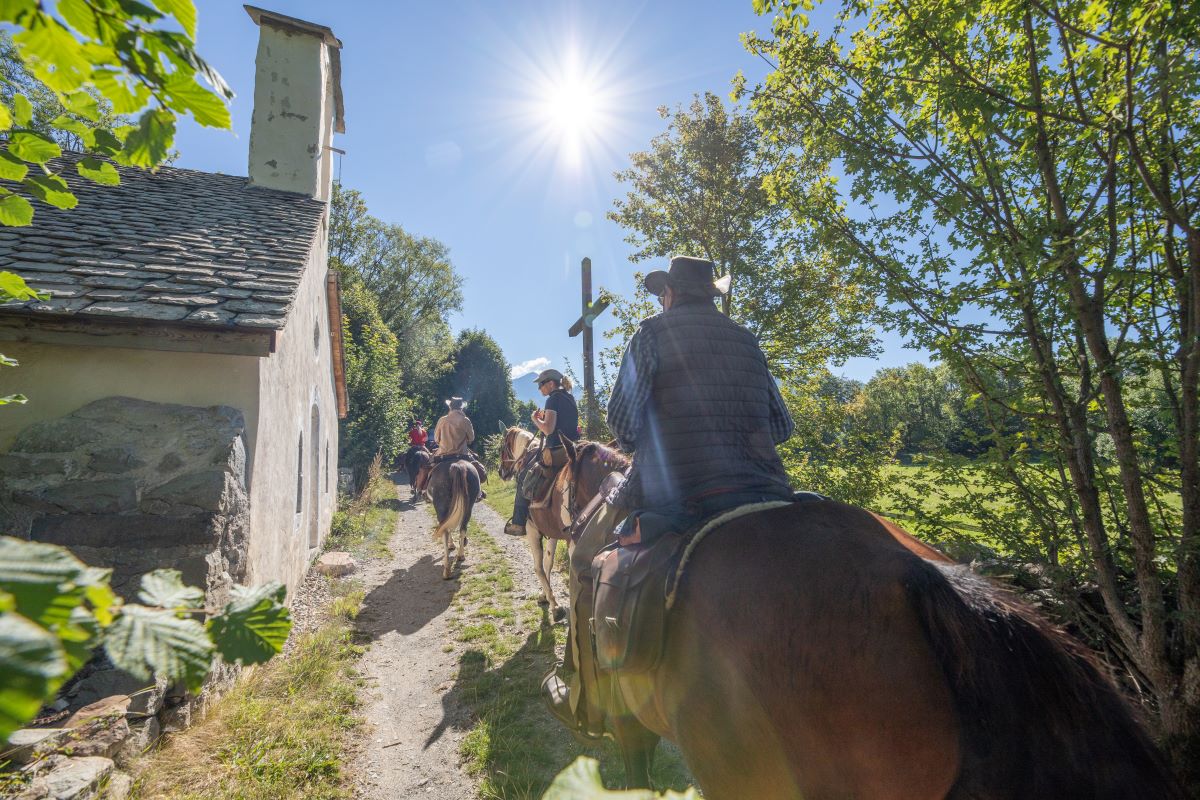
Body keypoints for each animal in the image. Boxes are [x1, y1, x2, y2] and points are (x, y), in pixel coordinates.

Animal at [496, 429, 571, 623]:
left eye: (502, 448)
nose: (501, 472)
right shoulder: (552, 531)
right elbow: (548, 562)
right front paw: (545, 596)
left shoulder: (532, 530)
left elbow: (538, 566)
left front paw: (554, 605)